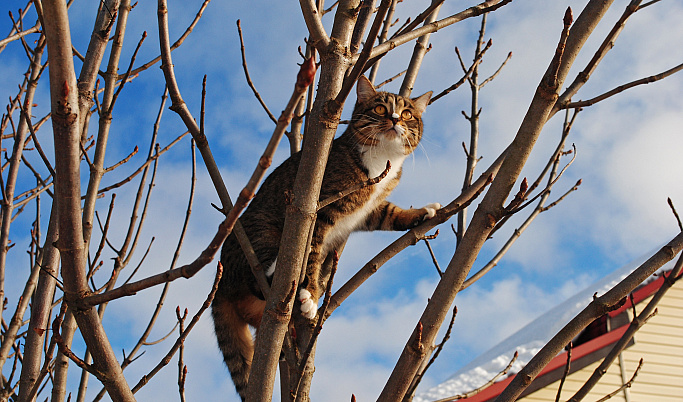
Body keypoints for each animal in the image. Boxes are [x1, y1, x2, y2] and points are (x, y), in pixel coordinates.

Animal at [211, 75, 440, 398]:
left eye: (407, 113)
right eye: (380, 108)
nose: (395, 119)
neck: (382, 161)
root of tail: (219, 288)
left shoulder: (371, 210)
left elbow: (391, 214)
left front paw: (421, 213)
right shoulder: (319, 211)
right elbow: (312, 253)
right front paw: (309, 290)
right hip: (261, 234)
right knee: (263, 274)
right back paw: (297, 291)